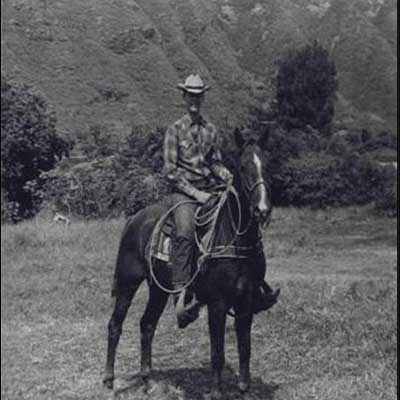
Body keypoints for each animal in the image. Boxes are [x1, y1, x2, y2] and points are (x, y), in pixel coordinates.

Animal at [102, 129, 272, 400]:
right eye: (243, 167)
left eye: (267, 164)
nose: (262, 209)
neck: (234, 239)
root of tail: (134, 218)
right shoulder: (217, 303)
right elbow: (217, 354)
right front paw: (216, 392)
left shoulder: (245, 303)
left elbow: (245, 351)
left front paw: (245, 392)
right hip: (128, 282)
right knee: (115, 325)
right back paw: (109, 380)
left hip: (159, 289)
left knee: (146, 324)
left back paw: (148, 381)